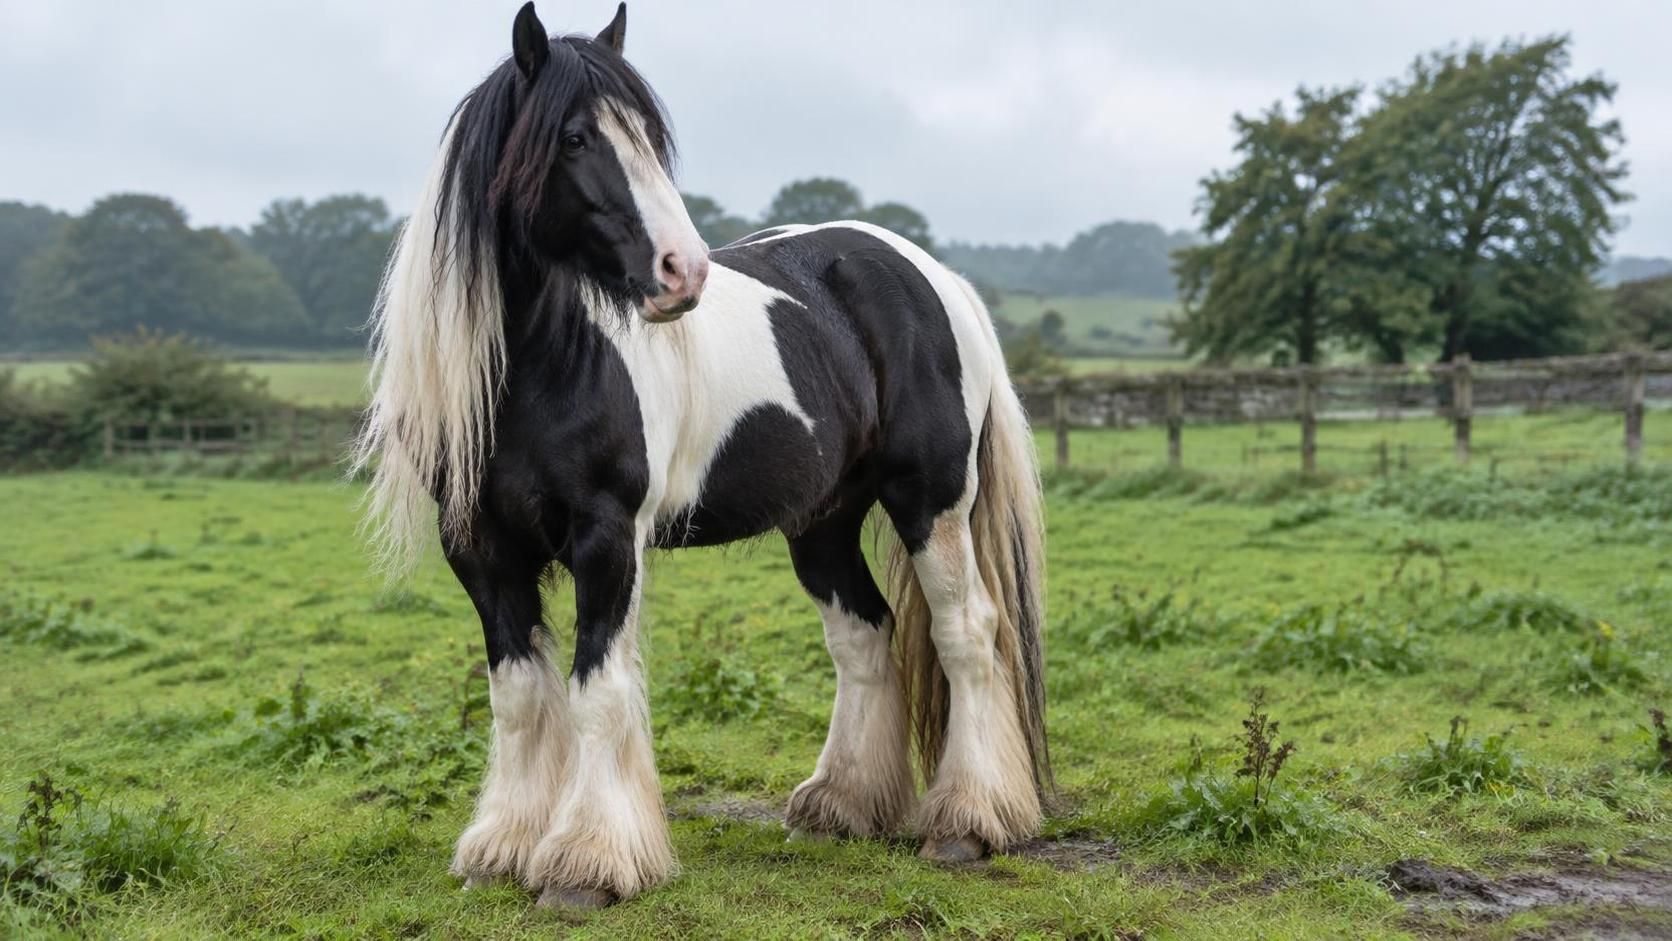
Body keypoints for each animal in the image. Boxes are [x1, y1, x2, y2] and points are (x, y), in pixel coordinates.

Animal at [355, 1, 1050, 909]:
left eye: (651, 136)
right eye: (574, 138)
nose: (681, 272)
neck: (540, 365)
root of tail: (934, 274)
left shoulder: (607, 537)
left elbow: (597, 691)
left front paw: (587, 861)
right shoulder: (478, 548)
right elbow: (519, 696)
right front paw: (502, 846)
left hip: (930, 501)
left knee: (967, 632)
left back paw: (967, 819)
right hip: (822, 522)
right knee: (866, 635)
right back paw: (839, 805)